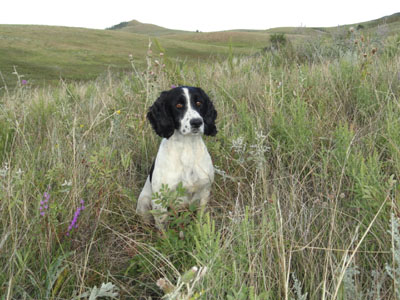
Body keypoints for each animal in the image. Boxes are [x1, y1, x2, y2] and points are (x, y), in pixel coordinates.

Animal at [138, 85, 219, 229]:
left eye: (199, 103)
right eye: (179, 105)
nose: (197, 122)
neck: (187, 150)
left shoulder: (204, 191)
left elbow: (200, 219)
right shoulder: (160, 201)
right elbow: (163, 230)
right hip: (144, 203)